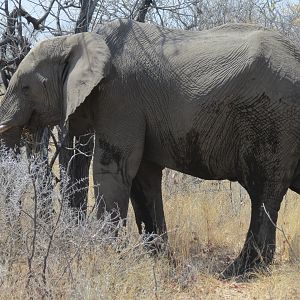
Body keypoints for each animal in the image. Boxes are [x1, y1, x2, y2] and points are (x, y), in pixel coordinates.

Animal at [0, 19, 300, 276]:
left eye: (26, 87)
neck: (79, 39)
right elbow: (143, 176)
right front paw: (159, 261)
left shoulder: (119, 97)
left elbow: (112, 166)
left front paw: (102, 256)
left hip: (272, 117)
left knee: (263, 190)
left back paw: (240, 272)